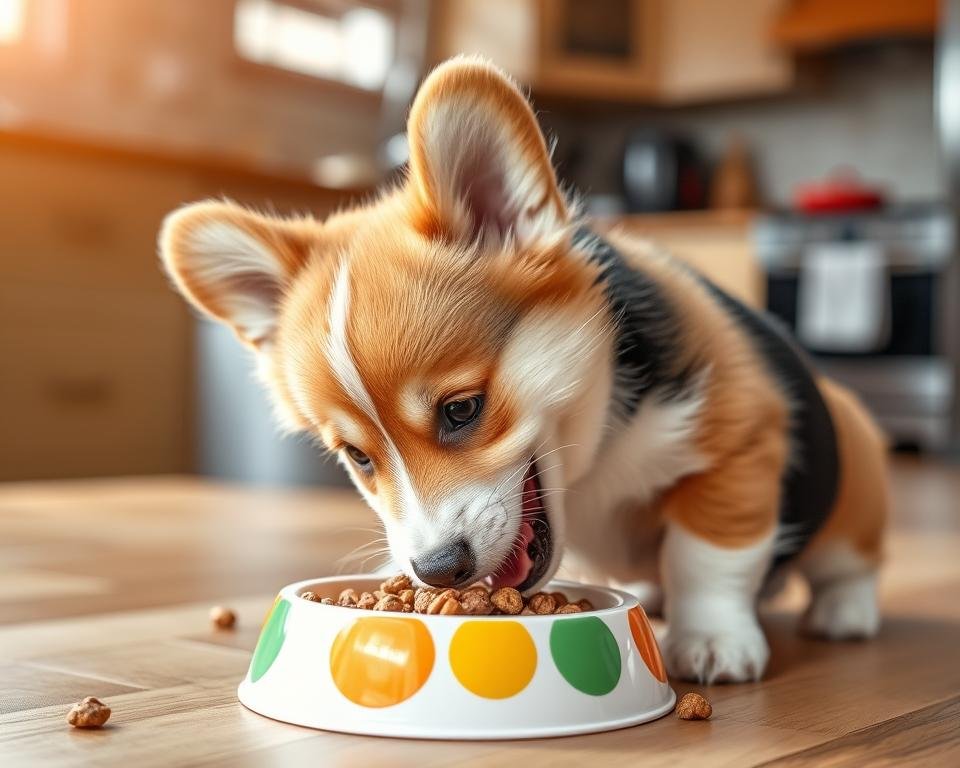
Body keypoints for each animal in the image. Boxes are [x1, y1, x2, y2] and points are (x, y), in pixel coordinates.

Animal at [161, 60, 888, 684]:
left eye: (461, 409)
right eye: (358, 458)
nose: (438, 570)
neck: (590, 464)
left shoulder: (737, 439)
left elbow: (707, 556)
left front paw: (712, 640)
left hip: (852, 478)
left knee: (849, 562)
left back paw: (844, 613)